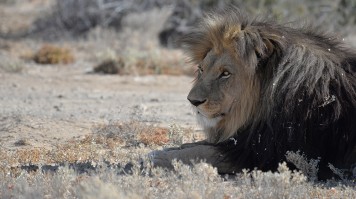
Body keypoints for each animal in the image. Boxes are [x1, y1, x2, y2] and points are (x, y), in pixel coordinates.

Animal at [150, 8, 356, 180]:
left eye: (225, 73)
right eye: (201, 69)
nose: (193, 101)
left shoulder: (265, 156)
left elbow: (198, 153)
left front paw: (153, 159)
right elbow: (195, 145)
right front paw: (164, 150)